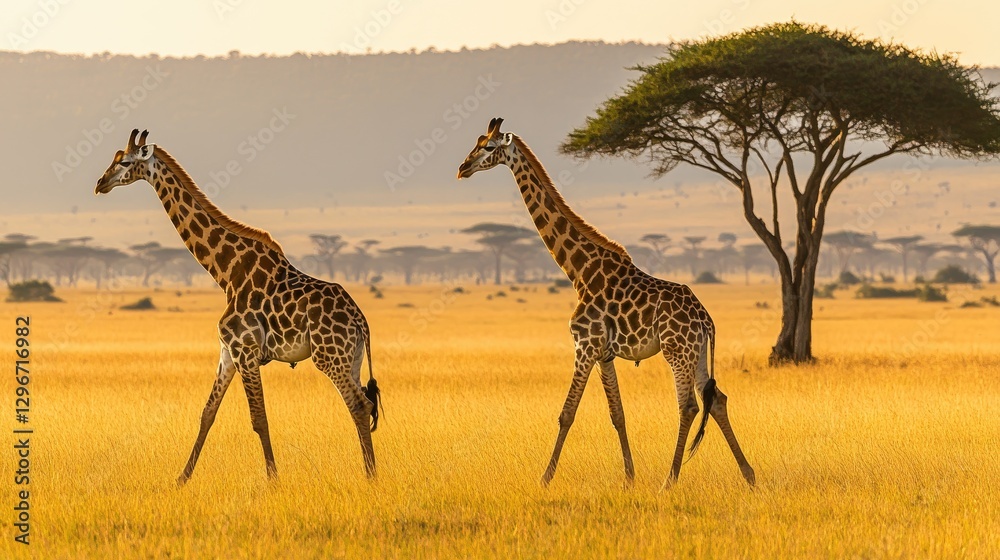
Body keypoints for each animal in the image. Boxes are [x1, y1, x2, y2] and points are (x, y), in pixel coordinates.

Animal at [95, 129, 381, 485]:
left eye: (125, 162)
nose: (100, 183)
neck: (226, 272)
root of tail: (360, 320)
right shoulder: (228, 352)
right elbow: (208, 413)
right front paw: (181, 479)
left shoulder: (245, 351)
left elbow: (259, 419)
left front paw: (272, 481)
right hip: (351, 359)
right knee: (365, 404)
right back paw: (371, 473)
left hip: (330, 358)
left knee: (358, 405)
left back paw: (371, 477)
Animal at [457, 118, 755, 488]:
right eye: (476, 142)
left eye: (487, 146)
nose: (462, 168)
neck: (579, 271)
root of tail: (706, 319)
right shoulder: (605, 353)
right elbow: (617, 414)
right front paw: (629, 478)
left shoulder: (584, 345)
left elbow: (567, 413)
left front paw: (545, 478)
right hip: (697, 352)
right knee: (717, 400)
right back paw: (749, 474)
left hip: (676, 350)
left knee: (688, 405)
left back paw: (669, 481)